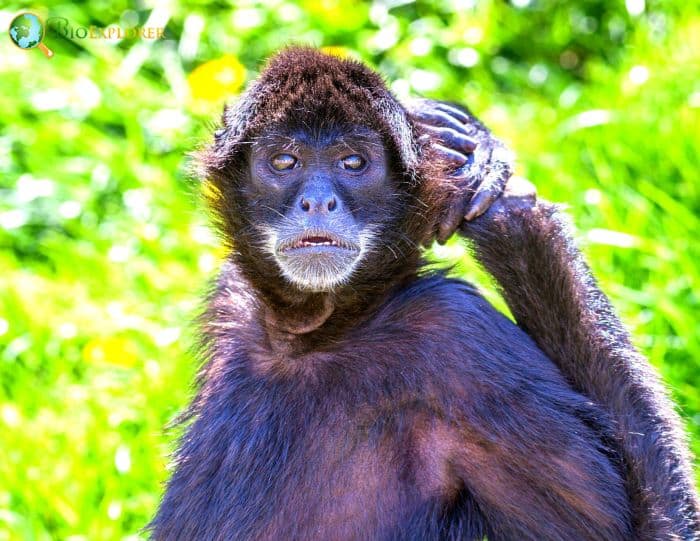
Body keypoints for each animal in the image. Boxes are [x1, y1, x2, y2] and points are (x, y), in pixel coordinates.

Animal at [148, 47, 699, 540]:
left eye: (353, 162)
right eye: (285, 161)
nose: (317, 200)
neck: (314, 337)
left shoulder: (456, 335)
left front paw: (488, 172)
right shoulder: (234, 297)